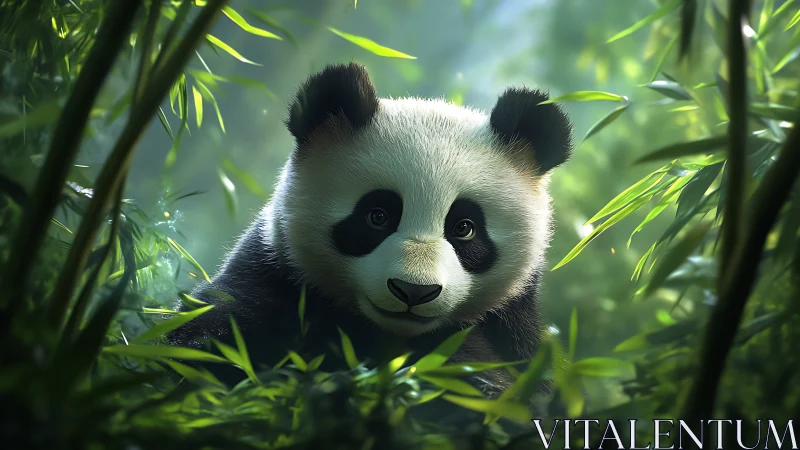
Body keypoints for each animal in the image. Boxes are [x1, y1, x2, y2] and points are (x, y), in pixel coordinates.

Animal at [166, 62, 572, 400]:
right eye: (378, 216)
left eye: (465, 228)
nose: (413, 291)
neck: (389, 335)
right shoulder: (276, 279)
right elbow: (202, 341)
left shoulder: (512, 330)